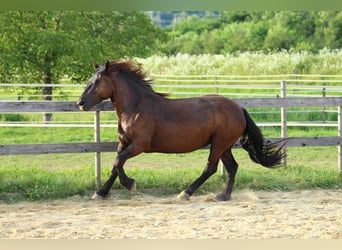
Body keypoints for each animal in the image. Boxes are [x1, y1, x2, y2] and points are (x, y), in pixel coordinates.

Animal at [78, 60, 286, 201]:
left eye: (97, 81)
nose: (80, 103)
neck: (135, 108)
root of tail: (239, 108)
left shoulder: (139, 145)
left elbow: (118, 162)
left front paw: (131, 185)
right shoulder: (124, 143)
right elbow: (116, 165)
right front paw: (100, 193)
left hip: (219, 144)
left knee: (210, 167)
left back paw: (186, 193)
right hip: (224, 145)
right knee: (232, 167)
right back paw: (223, 195)